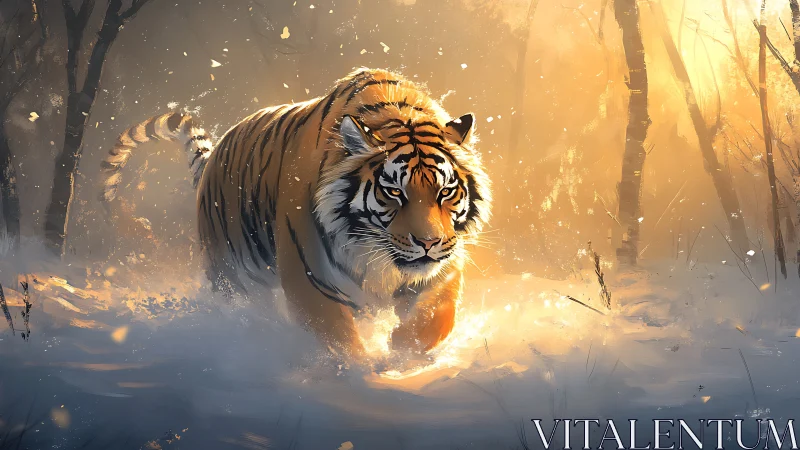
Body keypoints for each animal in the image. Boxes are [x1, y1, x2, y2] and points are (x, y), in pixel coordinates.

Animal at [100, 68, 492, 357]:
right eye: (394, 191)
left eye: (445, 191)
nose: (429, 242)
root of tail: (214, 156)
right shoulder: (311, 277)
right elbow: (338, 340)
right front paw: (360, 376)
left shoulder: (442, 270)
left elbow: (435, 318)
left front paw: (402, 351)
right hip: (232, 275)